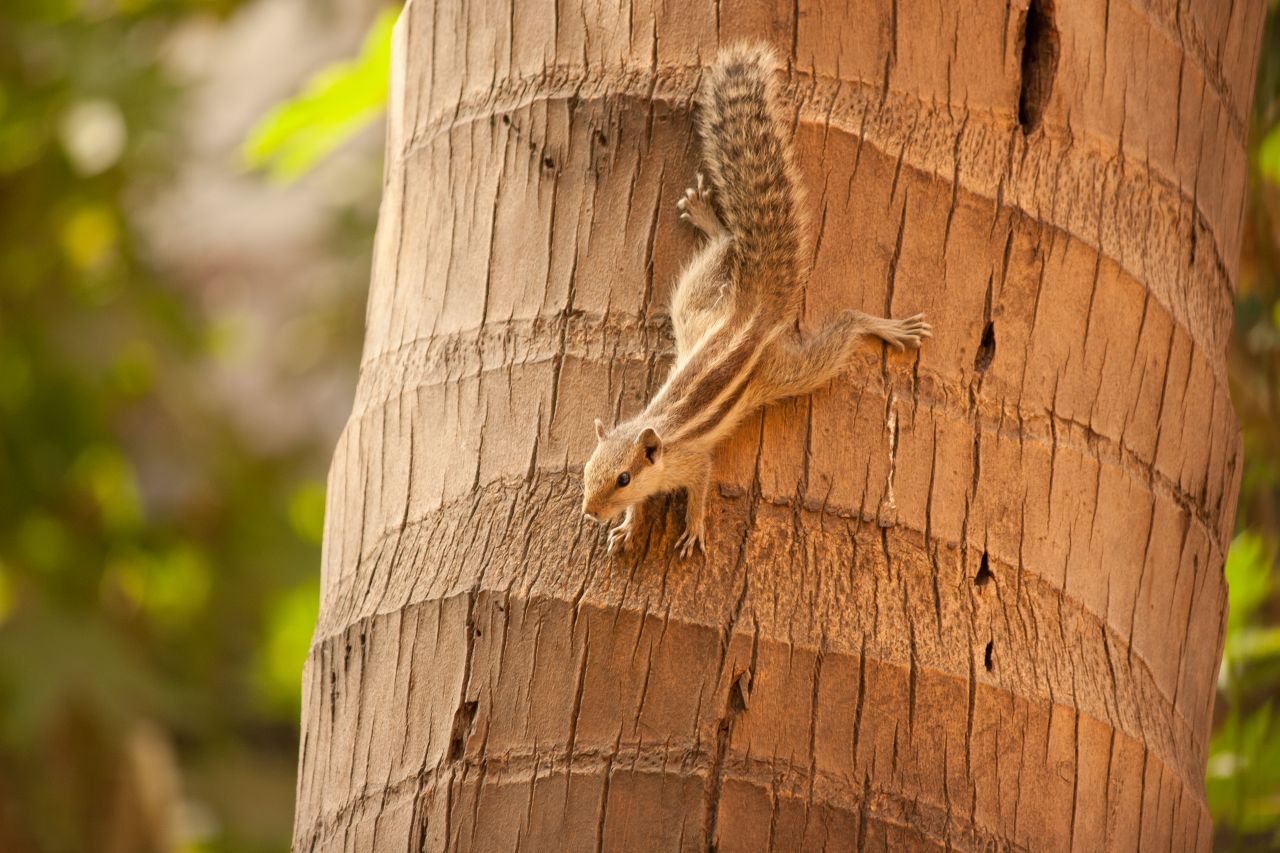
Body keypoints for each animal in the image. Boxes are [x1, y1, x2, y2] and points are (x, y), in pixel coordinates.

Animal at [581, 41, 931, 558]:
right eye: (589, 467)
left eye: (623, 477)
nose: (589, 511)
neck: (663, 436)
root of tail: (751, 313)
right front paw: (627, 525)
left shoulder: (693, 462)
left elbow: (700, 489)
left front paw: (692, 529)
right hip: (693, 311)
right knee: (727, 244)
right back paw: (707, 217)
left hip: (783, 372)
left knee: (844, 327)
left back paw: (886, 327)